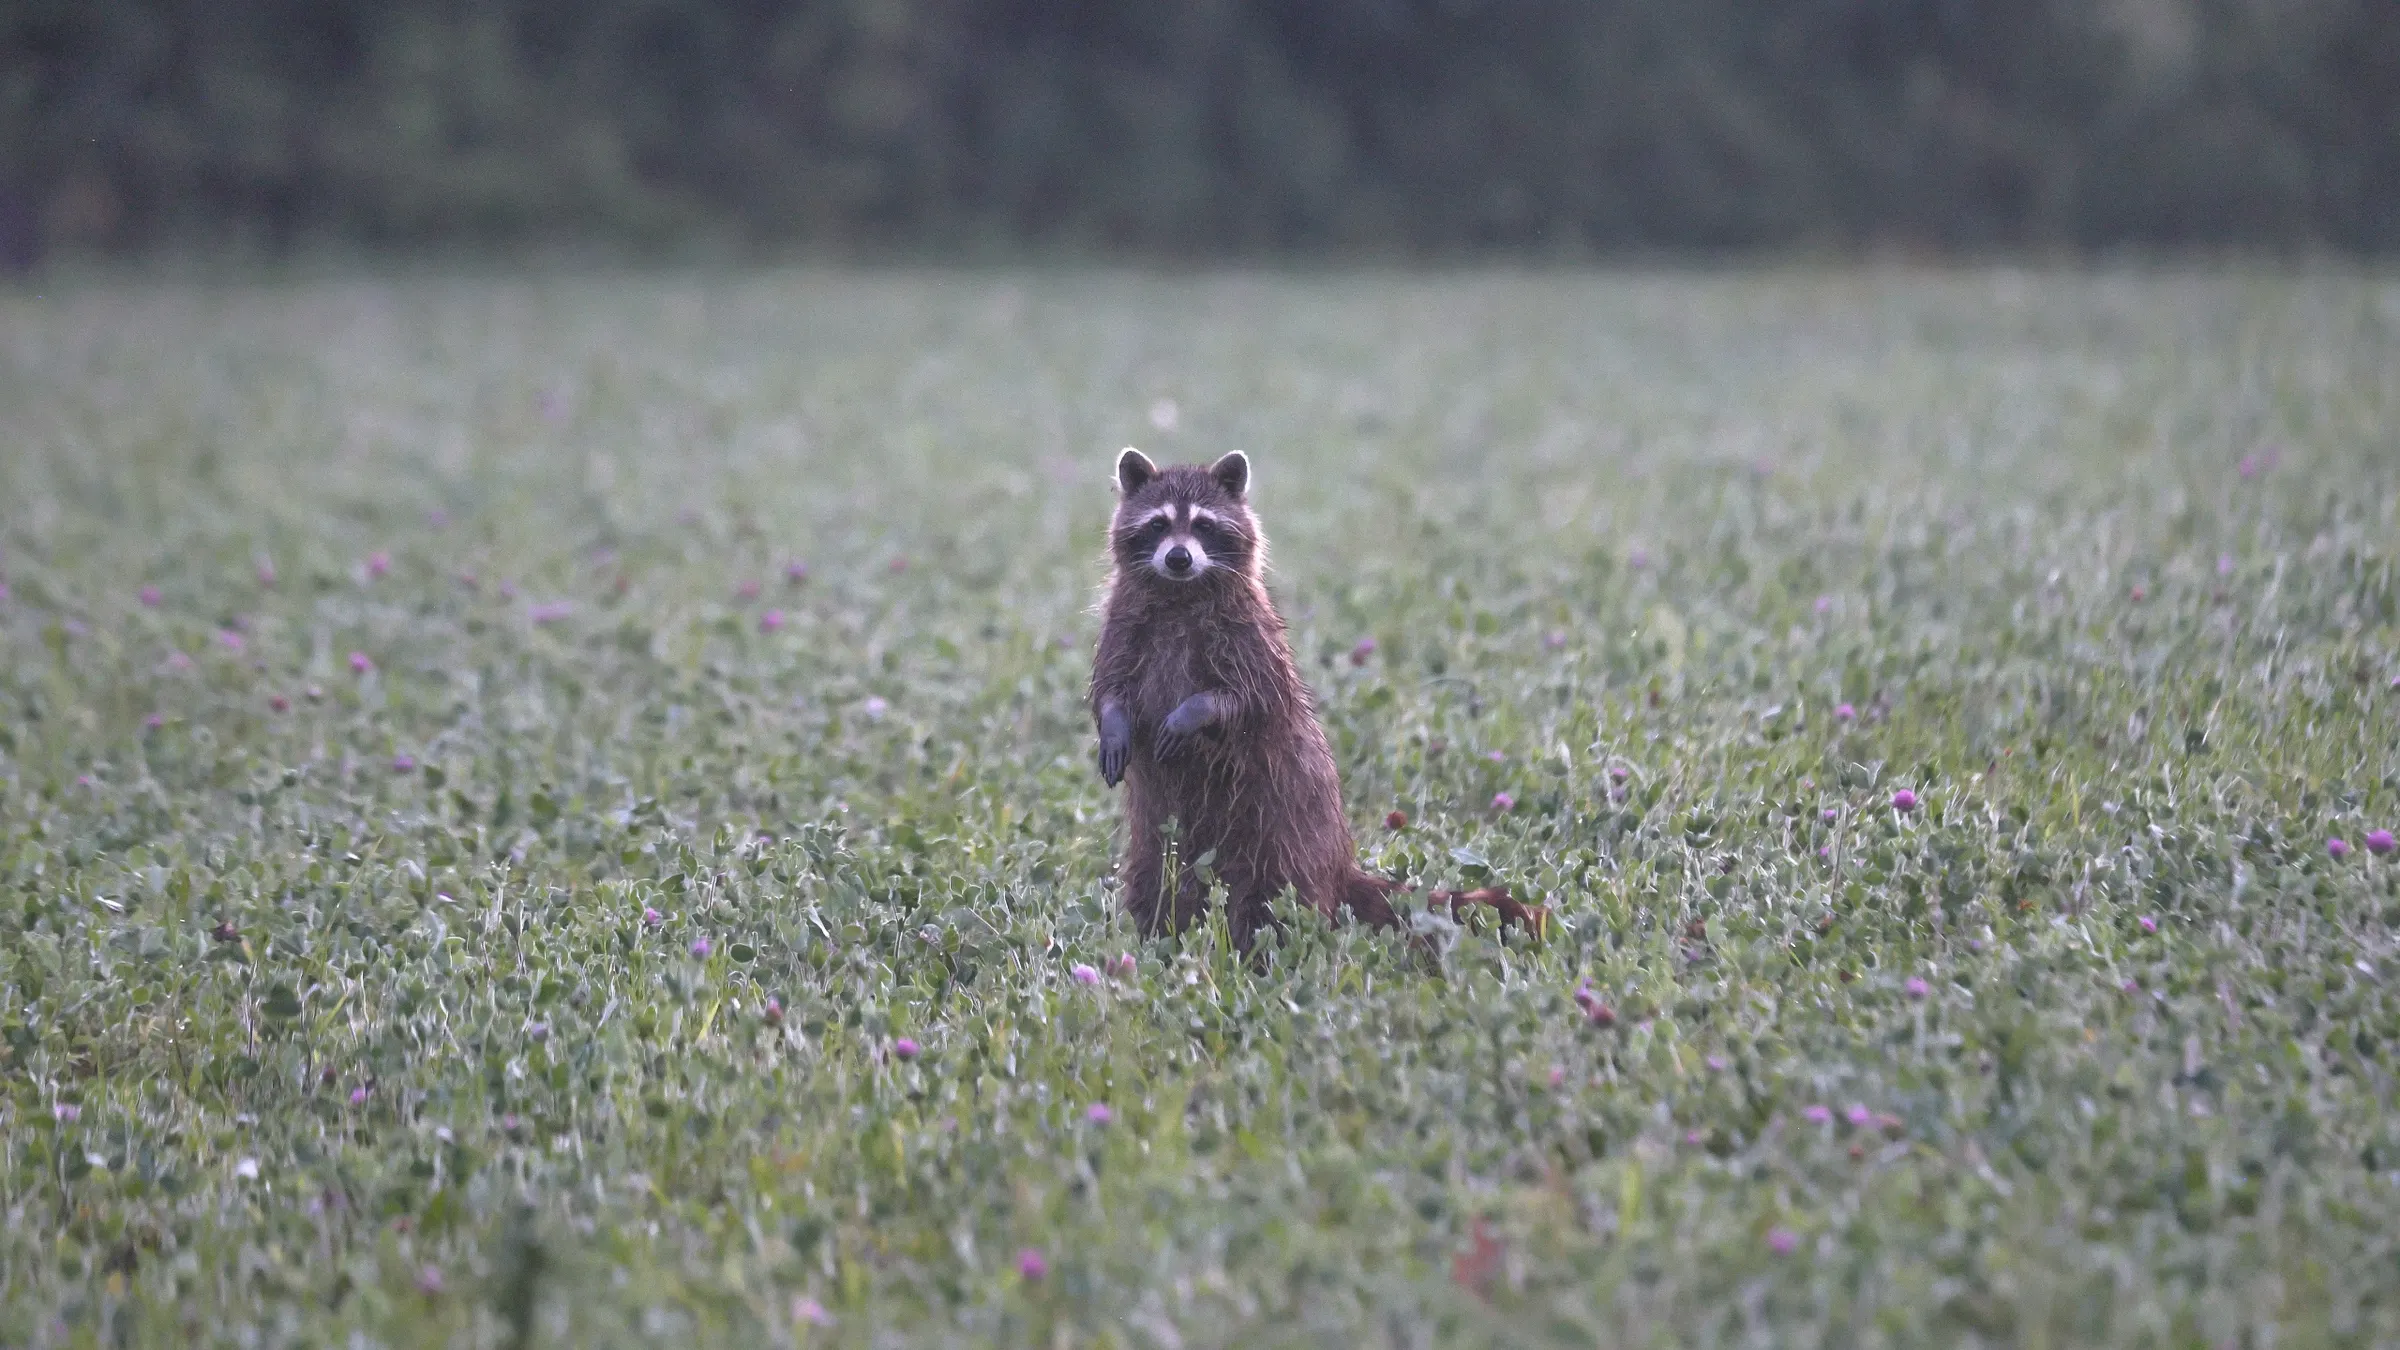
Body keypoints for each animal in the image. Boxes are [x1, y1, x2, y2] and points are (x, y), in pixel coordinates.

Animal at [1089, 447, 1543, 951]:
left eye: (1204, 524)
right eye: (1158, 524)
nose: (1179, 557)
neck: (1179, 592)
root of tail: (1338, 866)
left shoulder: (1248, 635)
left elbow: (1250, 698)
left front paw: (1195, 712)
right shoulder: (1124, 625)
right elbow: (1109, 687)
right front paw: (1113, 724)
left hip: (1284, 837)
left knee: (1276, 904)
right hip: (1159, 844)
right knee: (1155, 888)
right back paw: (1153, 935)